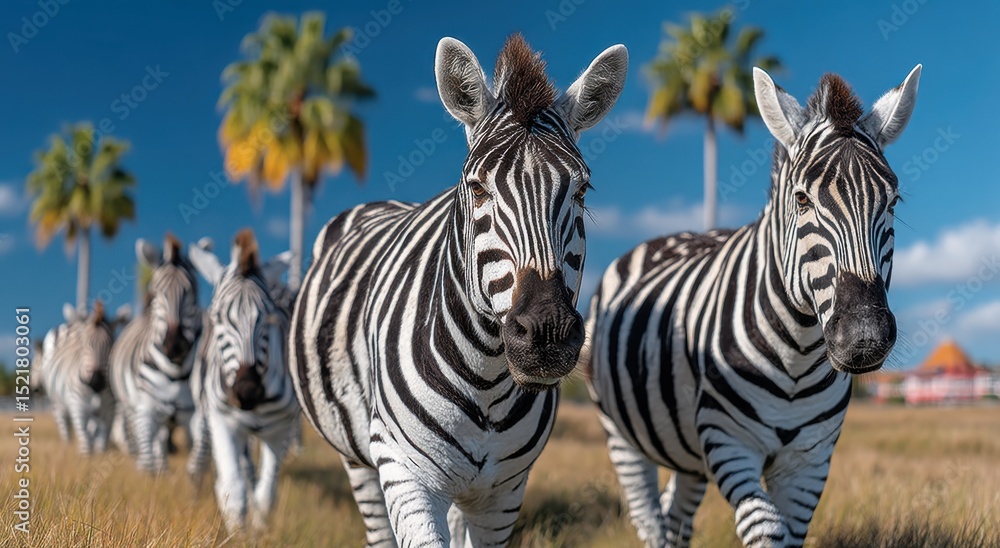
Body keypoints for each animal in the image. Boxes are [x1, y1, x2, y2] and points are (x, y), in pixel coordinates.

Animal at [41, 300, 129, 455]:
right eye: (83, 344)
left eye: (111, 345)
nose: (96, 381)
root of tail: (69, 324)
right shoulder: (78, 408)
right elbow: (86, 445)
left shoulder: (109, 410)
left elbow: (101, 446)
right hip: (56, 402)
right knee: (65, 430)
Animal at [109, 233, 203, 473]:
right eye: (157, 292)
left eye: (193, 292)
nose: (175, 344)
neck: (175, 371)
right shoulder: (145, 407)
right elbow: (149, 459)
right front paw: (150, 476)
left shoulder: (194, 411)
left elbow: (199, 458)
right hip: (131, 405)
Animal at [185, 229, 300, 532]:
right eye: (217, 318)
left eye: (269, 318)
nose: (247, 391)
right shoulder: (223, 420)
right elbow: (233, 489)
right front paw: (237, 534)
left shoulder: (280, 429)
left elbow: (266, 495)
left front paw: (259, 532)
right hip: (205, 409)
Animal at [290, 34, 627, 546]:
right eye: (478, 188)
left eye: (582, 191)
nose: (546, 333)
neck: (486, 378)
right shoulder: (402, 467)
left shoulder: (504, 494)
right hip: (358, 459)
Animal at [584, 65, 921, 547]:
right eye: (802, 199)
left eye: (892, 202)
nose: (864, 337)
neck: (797, 355)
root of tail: (666, 237)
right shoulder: (729, 442)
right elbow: (765, 530)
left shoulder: (809, 462)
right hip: (621, 436)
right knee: (650, 518)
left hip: (689, 451)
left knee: (676, 516)